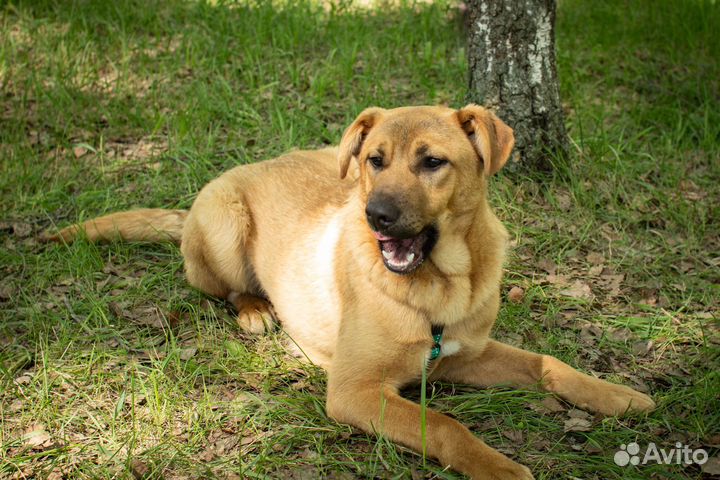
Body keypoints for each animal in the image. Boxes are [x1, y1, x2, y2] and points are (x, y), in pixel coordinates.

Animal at [45, 106, 652, 480]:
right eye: (375, 160)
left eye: (433, 162)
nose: (375, 215)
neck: (440, 285)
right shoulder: (356, 392)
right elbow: (445, 425)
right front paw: (498, 467)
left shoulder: (464, 355)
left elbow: (549, 364)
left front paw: (616, 395)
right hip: (223, 223)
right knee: (223, 288)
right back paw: (255, 310)